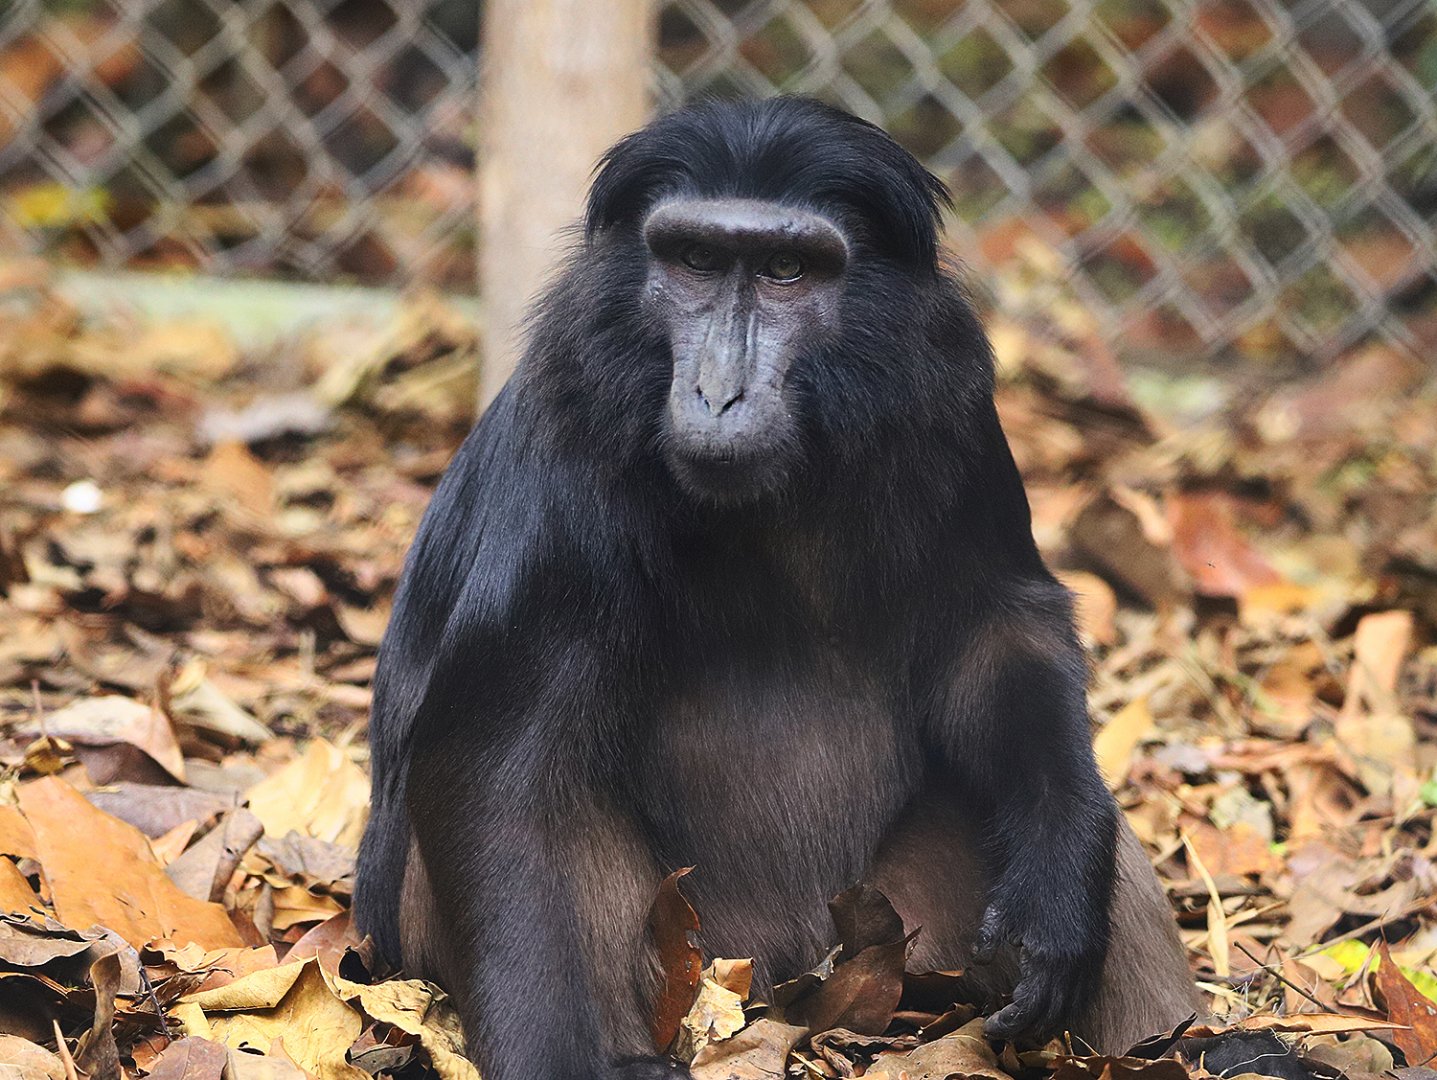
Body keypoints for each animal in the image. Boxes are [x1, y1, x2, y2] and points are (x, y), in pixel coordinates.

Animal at [354, 96, 1200, 1080]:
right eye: (694, 260)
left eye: (787, 270)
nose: (718, 392)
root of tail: (787, 981)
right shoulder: (569, 430)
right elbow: (493, 770)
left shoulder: (948, 402)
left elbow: (998, 632)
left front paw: (1060, 889)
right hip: (697, 951)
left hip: (893, 932)